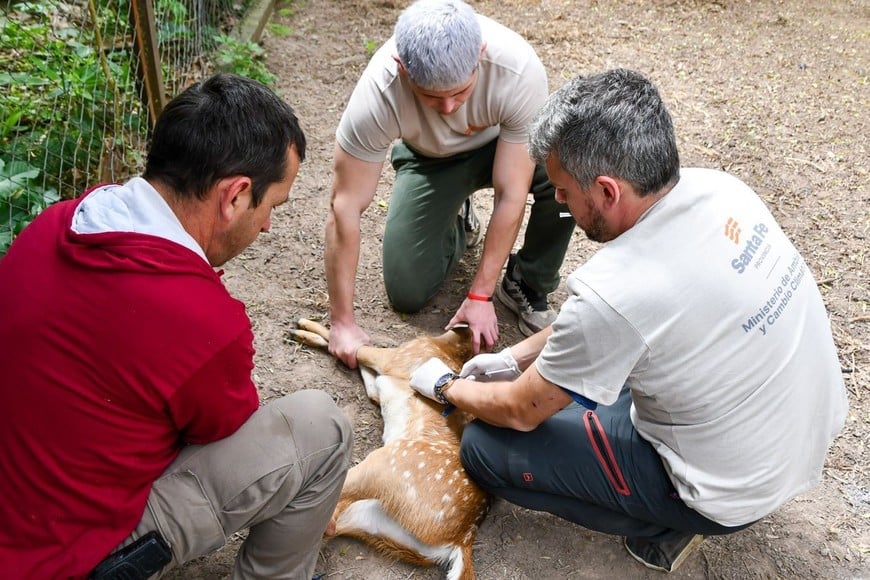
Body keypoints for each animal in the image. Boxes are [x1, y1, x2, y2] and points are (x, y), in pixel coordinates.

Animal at [288, 318, 490, 580]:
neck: (443, 345)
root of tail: (463, 537)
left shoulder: (395, 357)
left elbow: (355, 349)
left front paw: (304, 327)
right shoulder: (381, 383)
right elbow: (366, 375)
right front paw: (306, 333)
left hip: (387, 463)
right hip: (375, 521)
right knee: (327, 528)